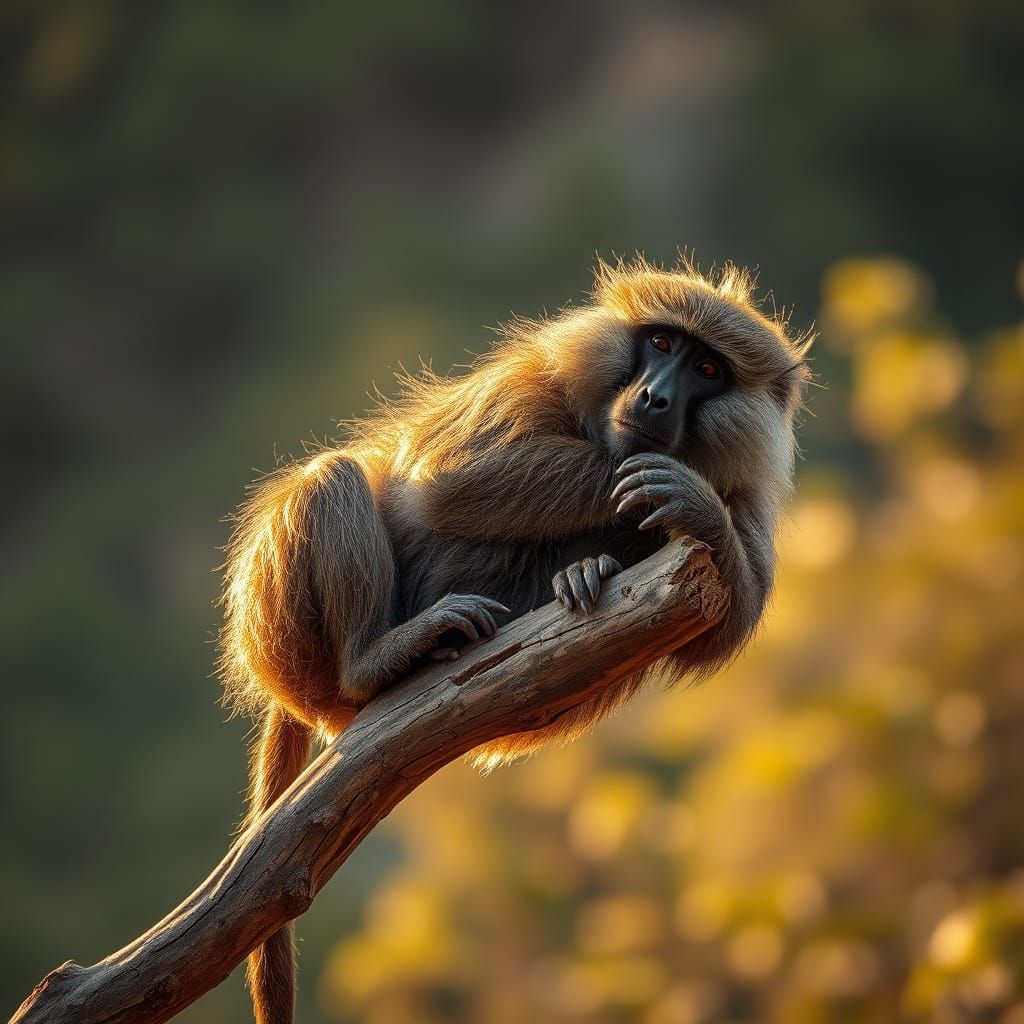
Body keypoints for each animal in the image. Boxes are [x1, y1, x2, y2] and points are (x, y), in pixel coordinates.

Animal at [218, 257, 811, 1024]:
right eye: (661, 343)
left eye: (707, 366)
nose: (652, 399)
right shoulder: (531, 381)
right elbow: (453, 473)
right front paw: (673, 488)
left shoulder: (748, 501)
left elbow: (727, 618)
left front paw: (689, 508)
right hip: (290, 637)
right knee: (336, 476)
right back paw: (376, 660)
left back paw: (585, 571)